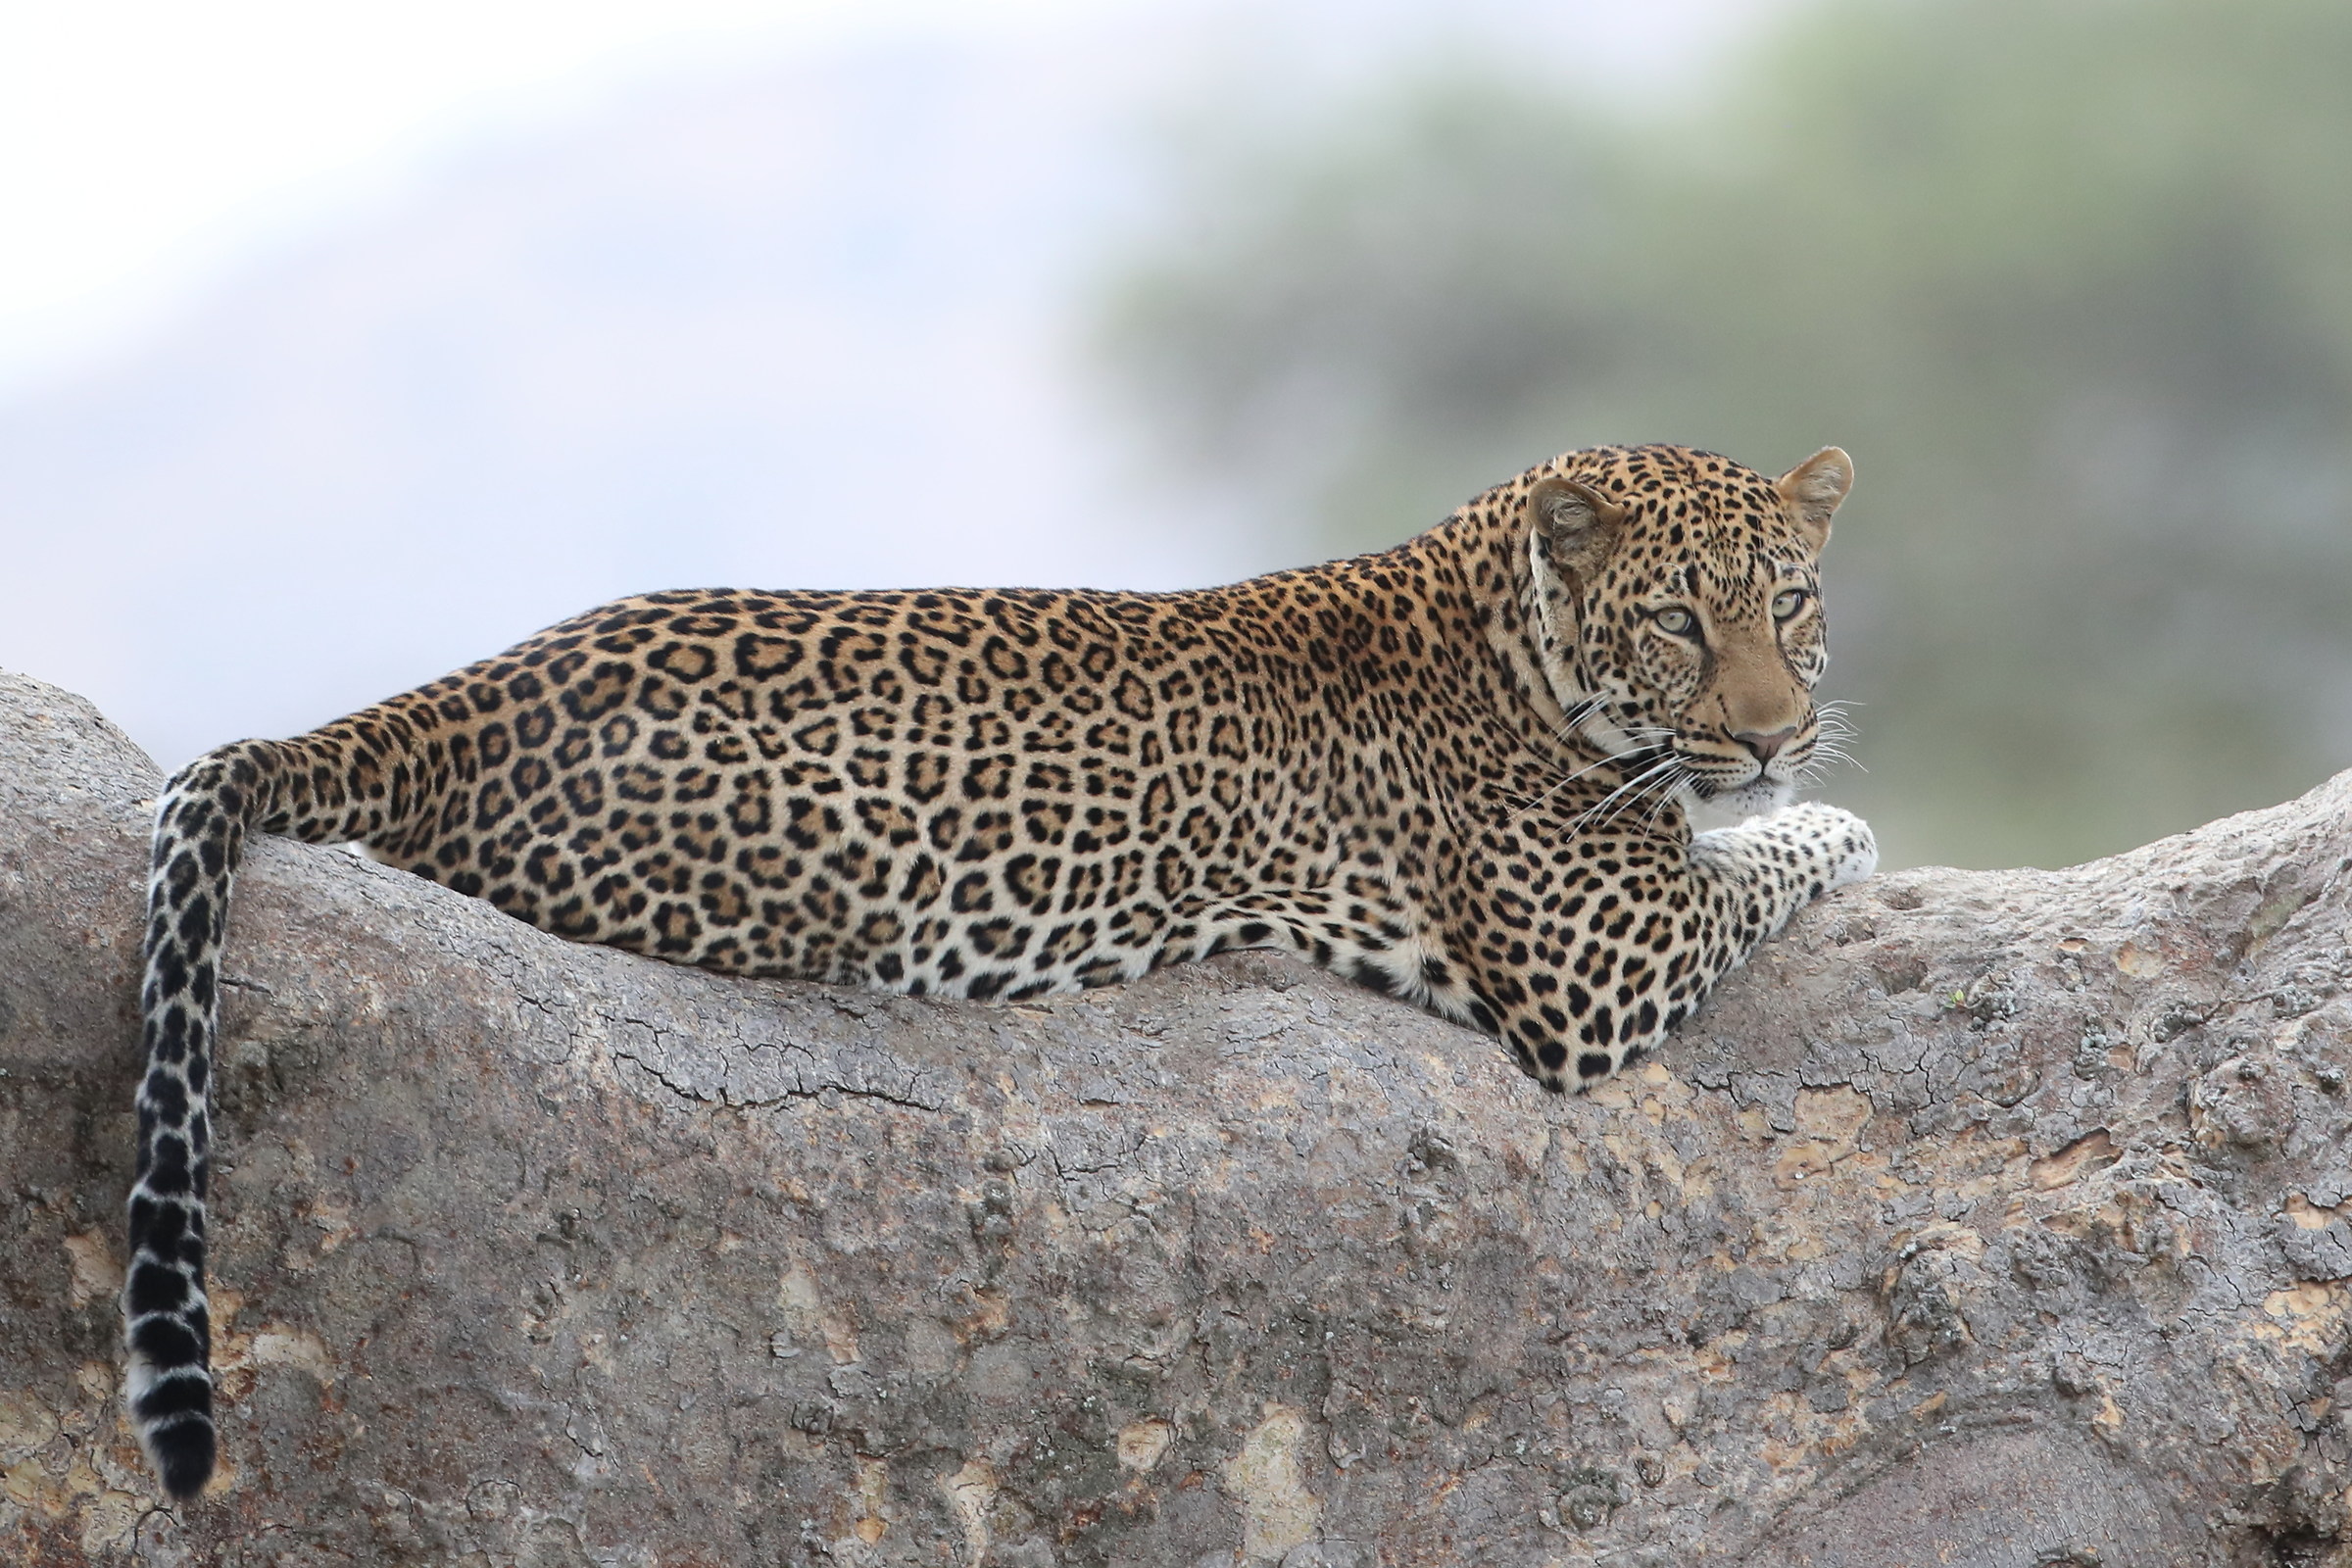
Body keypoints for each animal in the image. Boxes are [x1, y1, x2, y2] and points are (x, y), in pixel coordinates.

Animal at [122, 441, 1876, 1501]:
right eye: (1676, 621)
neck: (1513, 634)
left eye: (1794, 603)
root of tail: (442, 706)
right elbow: (1767, 857)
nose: (1775, 728)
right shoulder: (1597, 952)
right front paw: (1837, 821)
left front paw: (1807, 794)